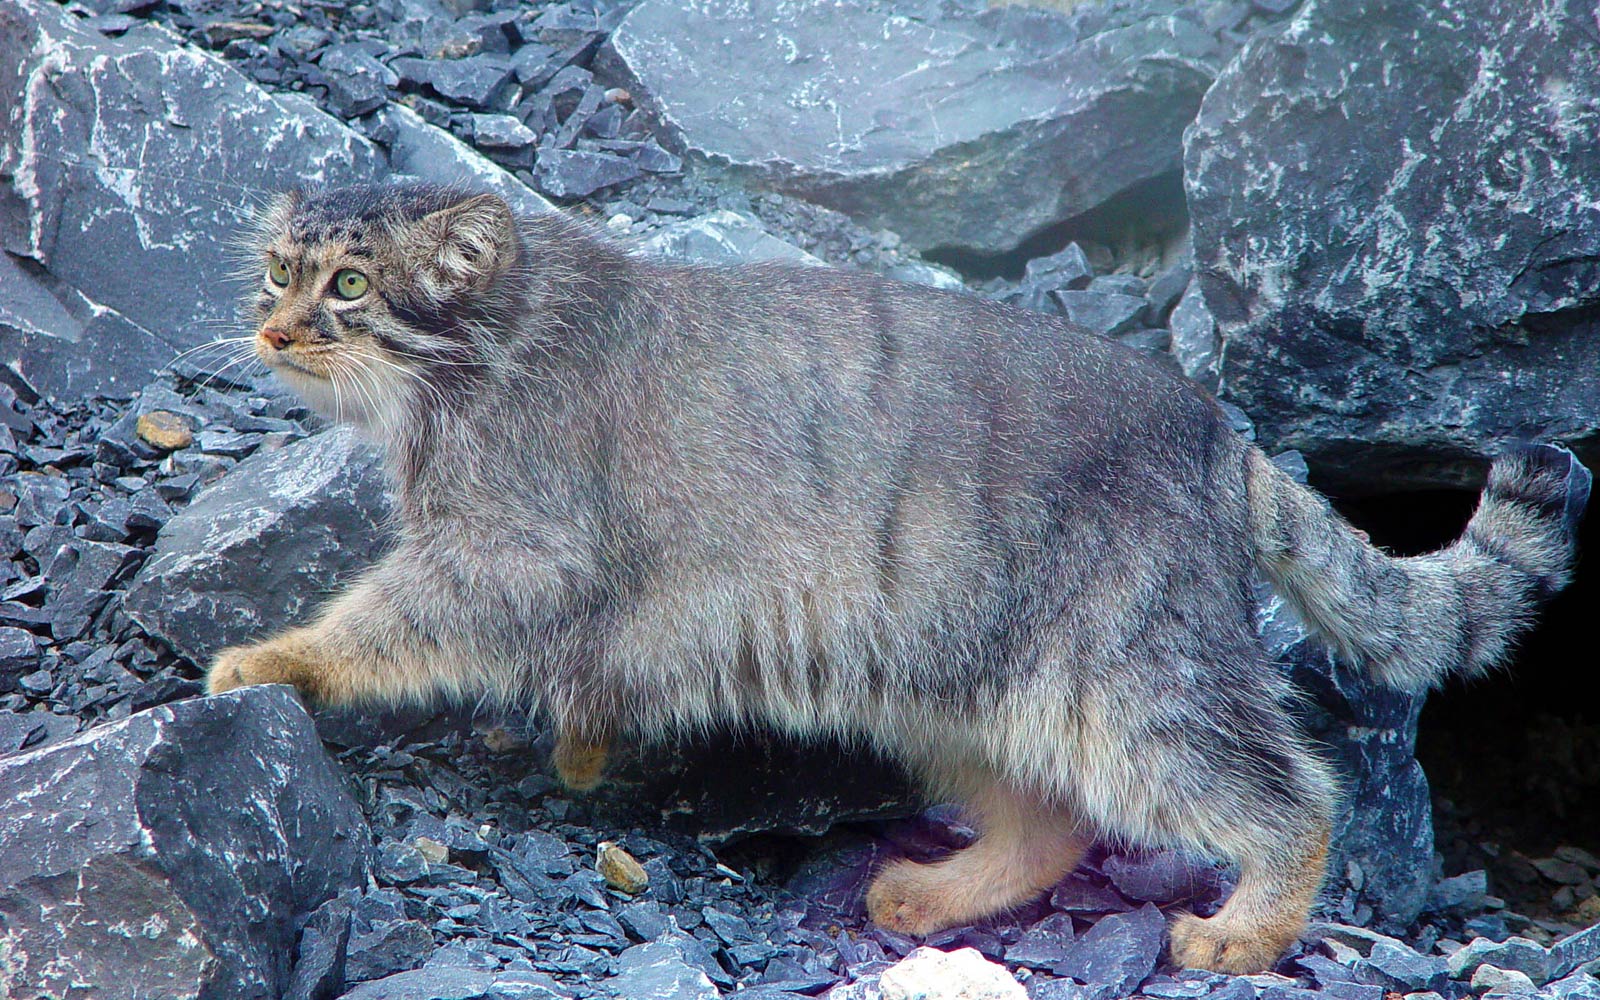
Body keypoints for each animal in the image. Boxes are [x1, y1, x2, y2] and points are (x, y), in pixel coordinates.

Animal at [209, 183, 1587, 972]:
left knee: (1285, 793)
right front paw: (584, 745)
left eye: (347, 286)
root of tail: (1218, 432)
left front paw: (276, 659)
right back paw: (938, 895)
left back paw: (1247, 928)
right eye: (277, 270)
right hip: (945, 679)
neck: (490, 344)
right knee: (1047, 820)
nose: (268, 329)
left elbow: (388, 618)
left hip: (1131, 674)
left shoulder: (509, 545)